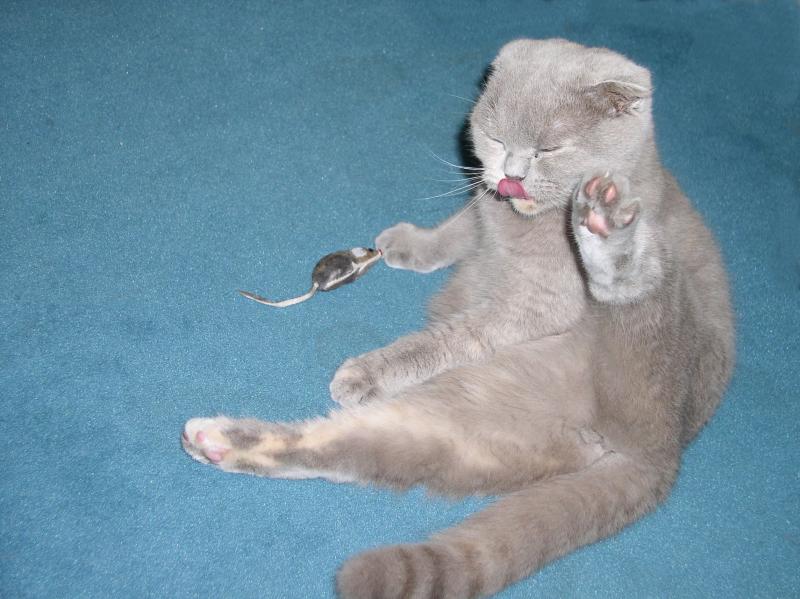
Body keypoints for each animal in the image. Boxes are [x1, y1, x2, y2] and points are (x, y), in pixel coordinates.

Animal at [182, 38, 734, 598]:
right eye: (496, 138)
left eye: (548, 149)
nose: (511, 175)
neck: (521, 227)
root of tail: (663, 455)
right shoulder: (482, 211)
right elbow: (460, 227)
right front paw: (410, 243)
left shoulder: (541, 304)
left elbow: (459, 334)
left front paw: (379, 366)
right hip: (480, 424)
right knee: (357, 450)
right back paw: (217, 443)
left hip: (653, 344)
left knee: (636, 290)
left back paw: (603, 222)